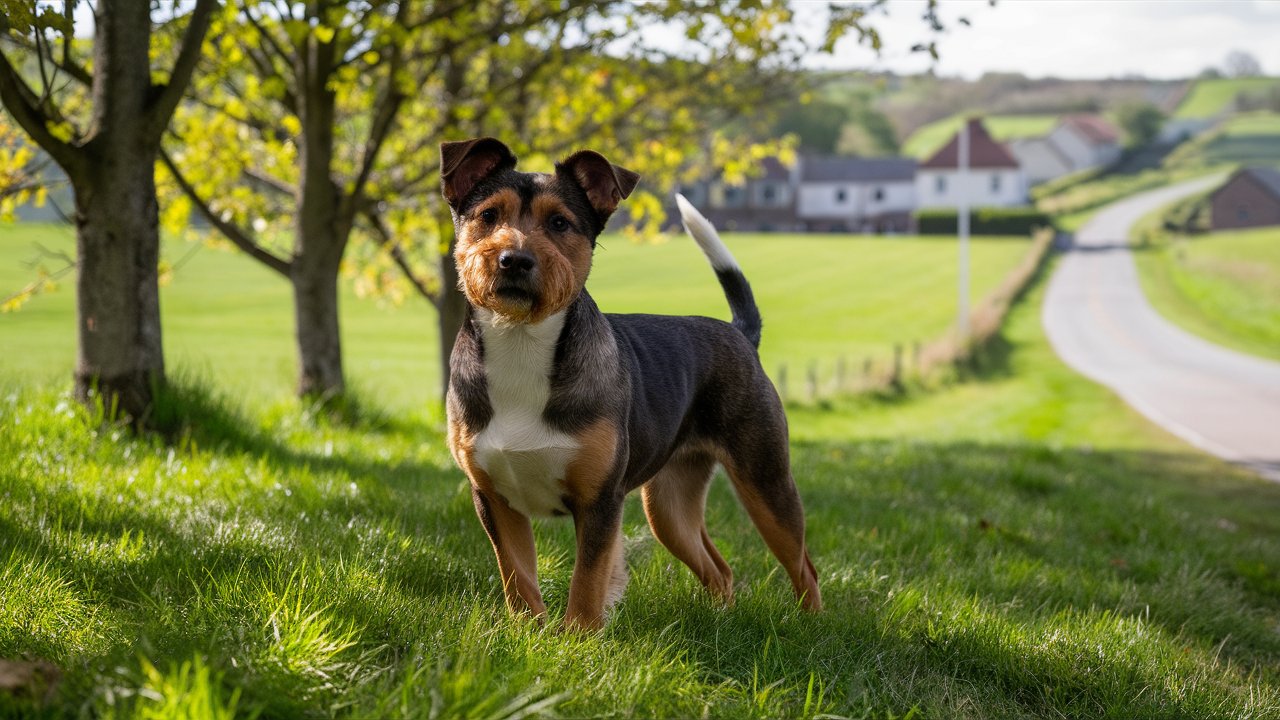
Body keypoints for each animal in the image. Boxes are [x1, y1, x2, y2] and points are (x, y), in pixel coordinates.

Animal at [440, 135, 819, 627]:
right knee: (719, 567)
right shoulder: (493, 498)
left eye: (559, 222)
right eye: (488, 215)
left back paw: (813, 624)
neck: (522, 341)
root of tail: (739, 333)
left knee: (802, 564)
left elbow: (587, 583)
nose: (514, 260)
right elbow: (518, 578)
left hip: (766, 479)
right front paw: (528, 633)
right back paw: (721, 621)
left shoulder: (600, 501)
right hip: (669, 504)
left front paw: (577, 638)